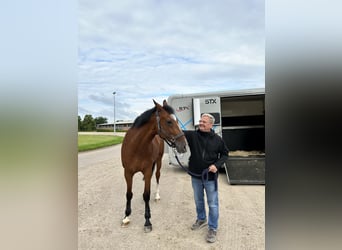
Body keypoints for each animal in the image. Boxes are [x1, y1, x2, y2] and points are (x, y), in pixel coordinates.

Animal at [121, 99, 187, 232]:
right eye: (169, 121)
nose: (183, 145)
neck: (136, 146)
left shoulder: (146, 171)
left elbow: (146, 194)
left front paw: (147, 221)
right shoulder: (128, 173)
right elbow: (129, 194)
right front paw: (126, 217)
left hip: (159, 162)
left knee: (156, 177)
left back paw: (156, 196)